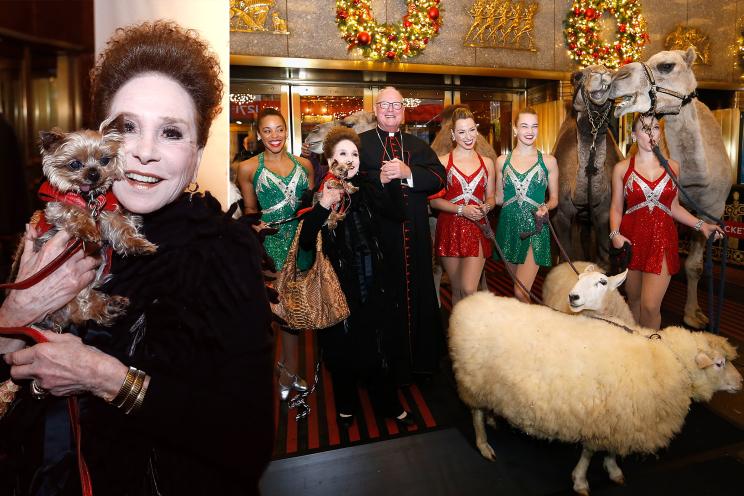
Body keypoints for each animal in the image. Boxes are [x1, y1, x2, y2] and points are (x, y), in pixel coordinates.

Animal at [13, 114, 157, 328]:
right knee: (79, 305)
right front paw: (89, 230)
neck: (88, 197)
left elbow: (121, 226)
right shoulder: (58, 207)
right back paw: (105, 307)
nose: (94, 173)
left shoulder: (107, 213)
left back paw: (110, 307)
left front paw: (139, 244)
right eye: (74, 164)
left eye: (104, 160)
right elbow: (74, 212)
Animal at [450, 292, 740, 494]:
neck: (667, 360)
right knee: (475, 415)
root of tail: (467, 304)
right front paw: (580, 481)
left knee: (486, 408)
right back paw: (484, 444)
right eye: (719, 363)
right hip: (472, 382)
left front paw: (613, 471)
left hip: (491, 386)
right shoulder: (600, 418)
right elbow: (590, 453)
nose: (741, 382)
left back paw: (493, 418)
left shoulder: (619, 420)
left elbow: (610, 452)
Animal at [552, 67, 620, 268]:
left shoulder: (604, 214)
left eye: (613, 73)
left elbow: (604, 261)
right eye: (576, 76)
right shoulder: (561, 215)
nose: (602, 74)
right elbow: (567, 259)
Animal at [612, 48, 732, 330]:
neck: (696, 179)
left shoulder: (713, 209)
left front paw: (694, 315)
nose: (616, 78)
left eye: (666, 66)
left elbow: (695, 265)